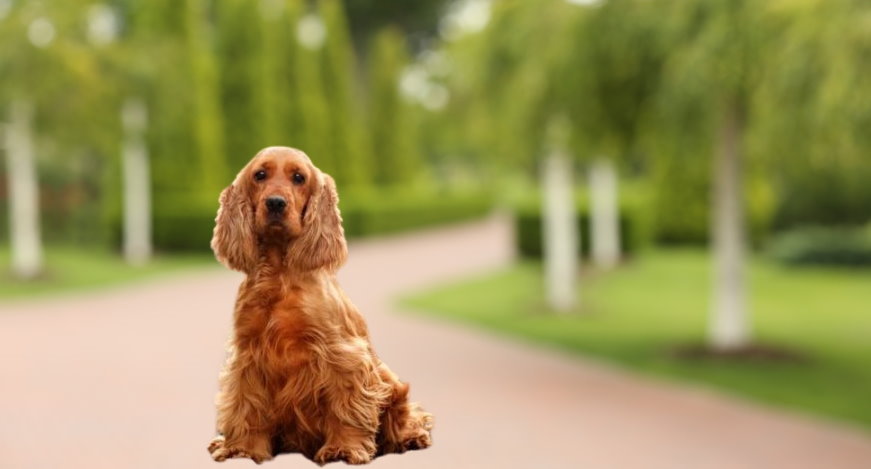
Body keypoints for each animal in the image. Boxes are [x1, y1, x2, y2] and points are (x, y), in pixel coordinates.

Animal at [207, 146, 433, 465]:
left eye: (299, 177)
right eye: (259, 175)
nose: (275, 203)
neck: (279, 274)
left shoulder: (340, 355)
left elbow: (345, 407)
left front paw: (344, 448)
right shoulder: (248, 356)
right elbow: (246, 405)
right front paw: (243, 449)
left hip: (391, 381)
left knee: (407, 415)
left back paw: (410, 438)